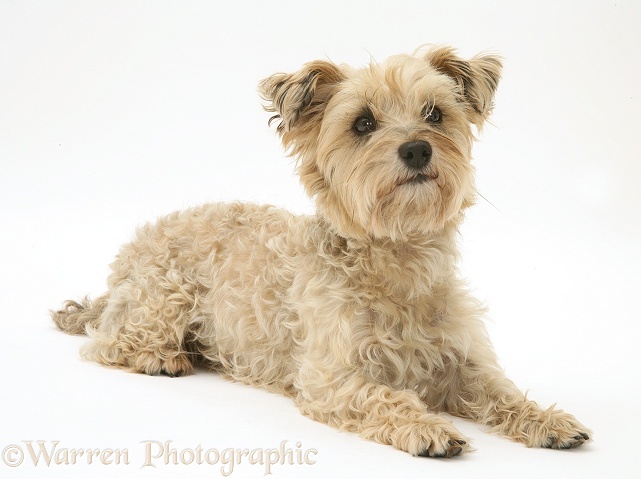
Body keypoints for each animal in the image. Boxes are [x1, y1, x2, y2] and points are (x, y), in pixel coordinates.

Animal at [52, 46, 588, 462]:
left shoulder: (463, 362)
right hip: (165, 297)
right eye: (363, 123)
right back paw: (160, 357)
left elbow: (502, 391)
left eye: (435, 113)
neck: (397, 259)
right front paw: (426, 427)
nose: (417, 150)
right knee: (106, 342)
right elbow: (383, 396)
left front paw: (546, 420)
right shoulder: (331, 376)